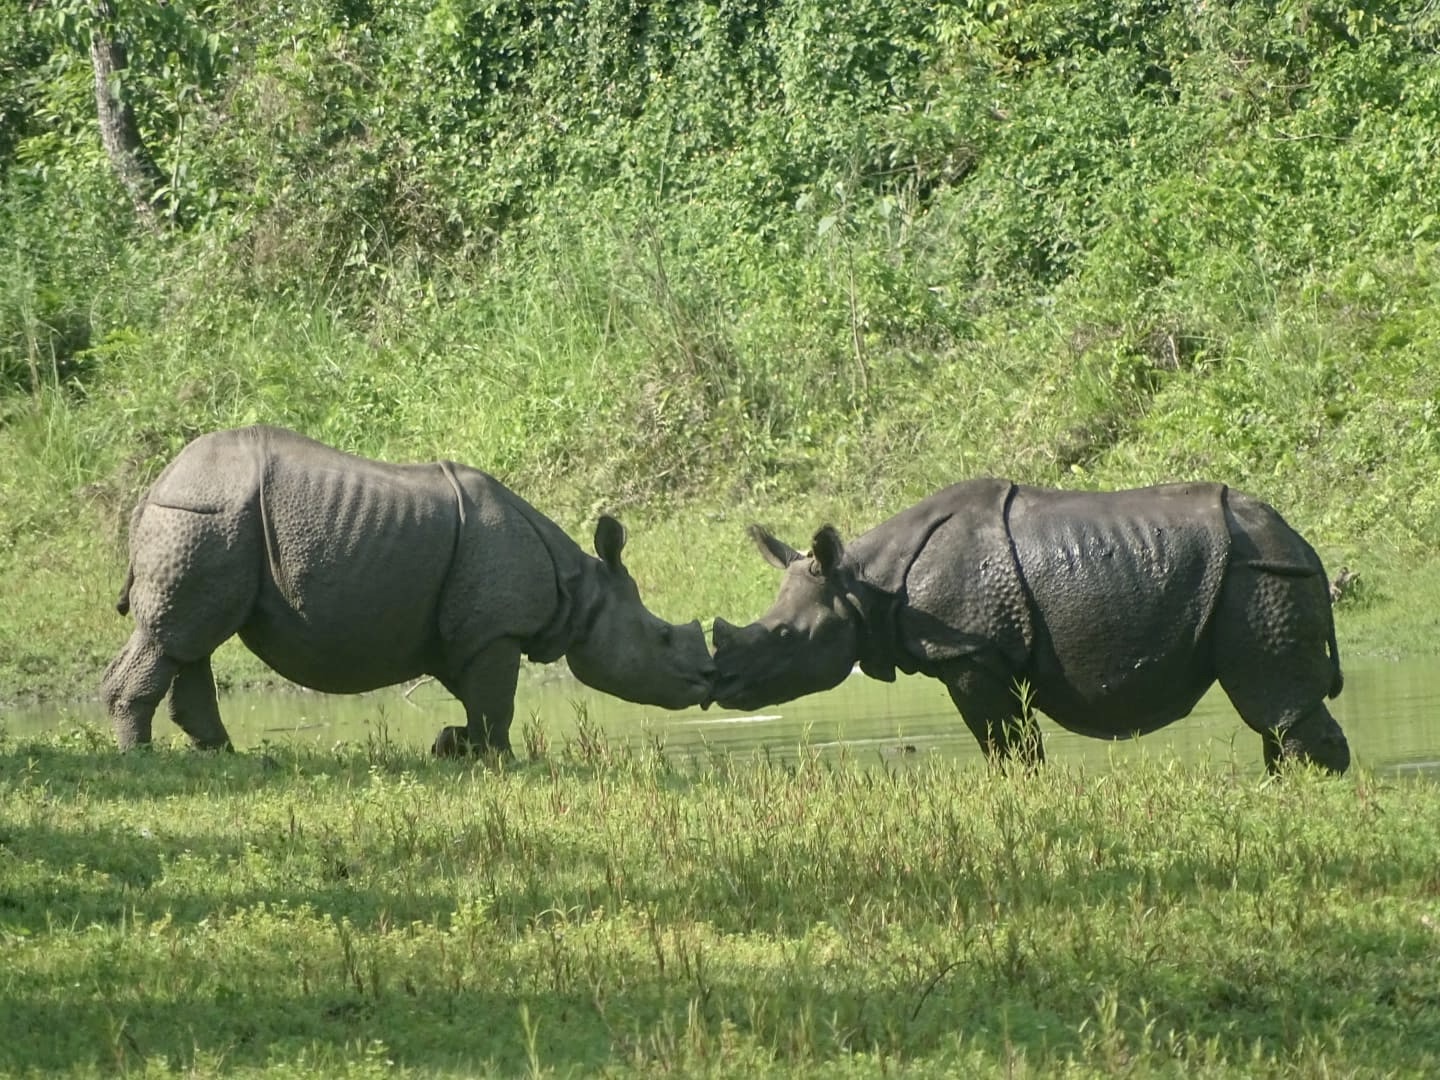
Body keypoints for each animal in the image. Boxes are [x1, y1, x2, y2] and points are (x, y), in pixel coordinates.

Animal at [102, 425, 714, 753]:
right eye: (662, 637)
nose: (708, 681)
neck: (579, 591)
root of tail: (157, 483)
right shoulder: (495, 630)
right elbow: (497, 706)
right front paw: (503, 760)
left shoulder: (462, 632)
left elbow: (479, 702)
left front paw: (451, 746)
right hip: (208, 517)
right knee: (177, 636)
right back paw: (144, 757)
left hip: (209, 521)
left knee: (191, 639)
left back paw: (224, 756)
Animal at [711, 479, 1350, 773]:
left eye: (785, 637)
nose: (722, 683)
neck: (866, 581)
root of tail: (1302, 541)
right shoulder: (983, 654)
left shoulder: (970, 651)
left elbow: (1007, 743)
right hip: (1260, 570)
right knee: (1276, 709)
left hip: (1258, 574)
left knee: (1274, 703)